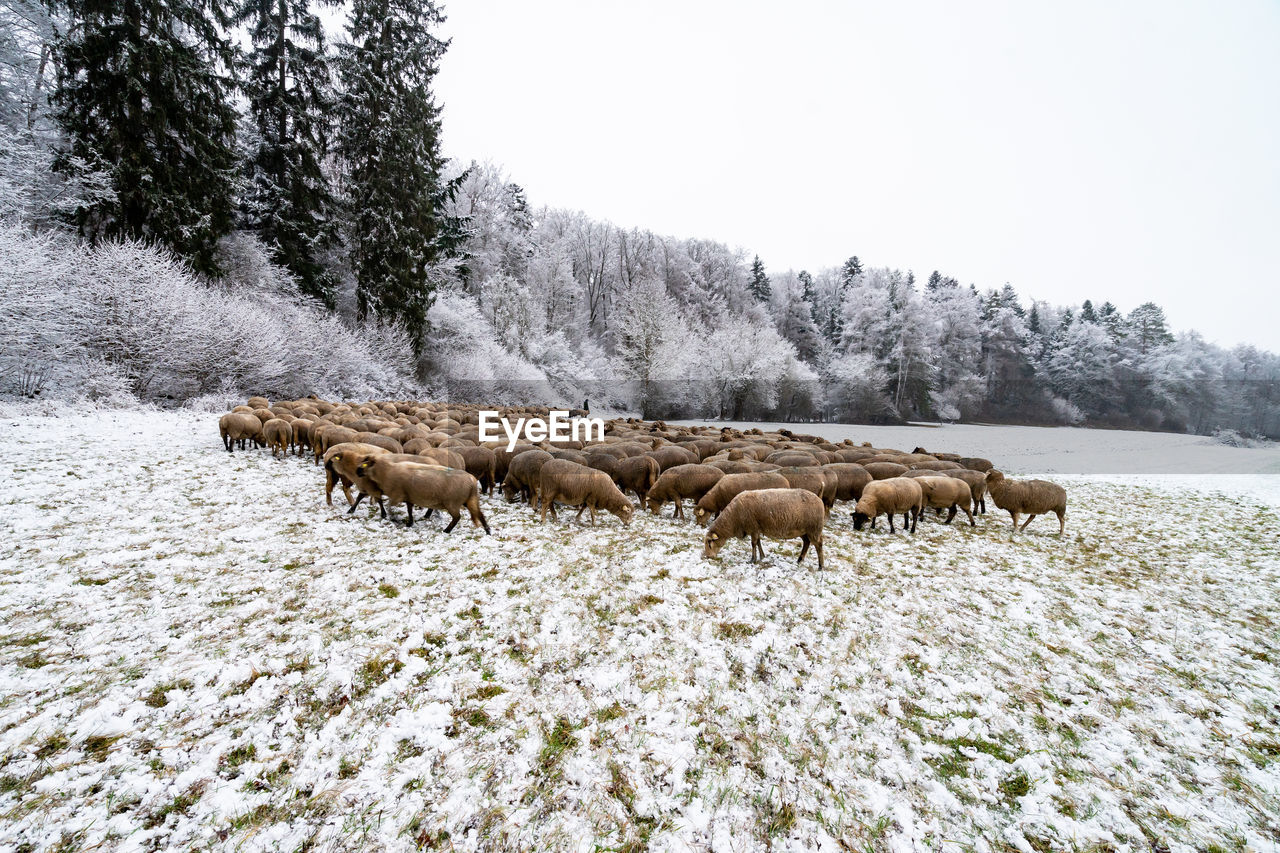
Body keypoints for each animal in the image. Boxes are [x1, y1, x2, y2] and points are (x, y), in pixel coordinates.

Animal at [355, 450, 488, 532]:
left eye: (365, 463)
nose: (357, 471)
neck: (386, 471)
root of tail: (472, 480)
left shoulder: (397, 495)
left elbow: (390, 508)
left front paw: (395, 519)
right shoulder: (408, 497)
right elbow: (409, 510)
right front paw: (410, 522)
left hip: (452, 503)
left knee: (457, 517)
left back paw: (446, 530)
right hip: (469, 500)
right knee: (479, 514)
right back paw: (488, 530)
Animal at [701, 489, 829, 568]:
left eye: (709, 542)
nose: (708, 557)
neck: (733, 519)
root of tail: (819, 499)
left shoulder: (752, 527)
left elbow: (753, 543)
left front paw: (752, 559)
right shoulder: (757, 528)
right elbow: (758, 542)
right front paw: (762, 556)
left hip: (814, 529)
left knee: (819, 545)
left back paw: (821, 566)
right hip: (804, 530)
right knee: (806, 543)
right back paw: (800, 560)